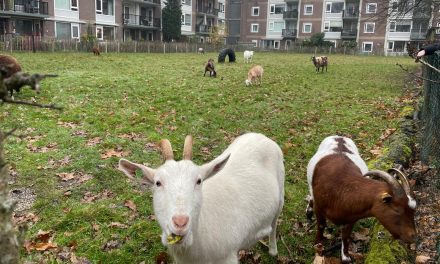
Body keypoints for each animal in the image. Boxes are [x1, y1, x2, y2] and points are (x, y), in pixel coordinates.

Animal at [117, 134, 286, 264]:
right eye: (158, 183)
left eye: (199, 181)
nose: (180, 223)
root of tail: (260, 136)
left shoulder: (227, 257)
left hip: (280, 194)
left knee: (274, 222)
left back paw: (273, 250)